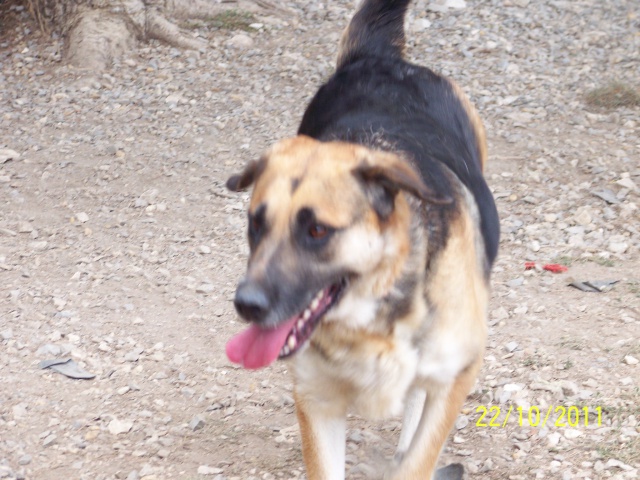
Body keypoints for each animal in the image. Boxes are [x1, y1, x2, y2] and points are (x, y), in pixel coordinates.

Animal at [225, 1, 500, 478]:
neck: (371, 324)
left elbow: (418, 459)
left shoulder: (457, 375)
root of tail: (378, 58)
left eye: (316, 231)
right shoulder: (317, 400)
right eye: (255, 224)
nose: (247, 305)